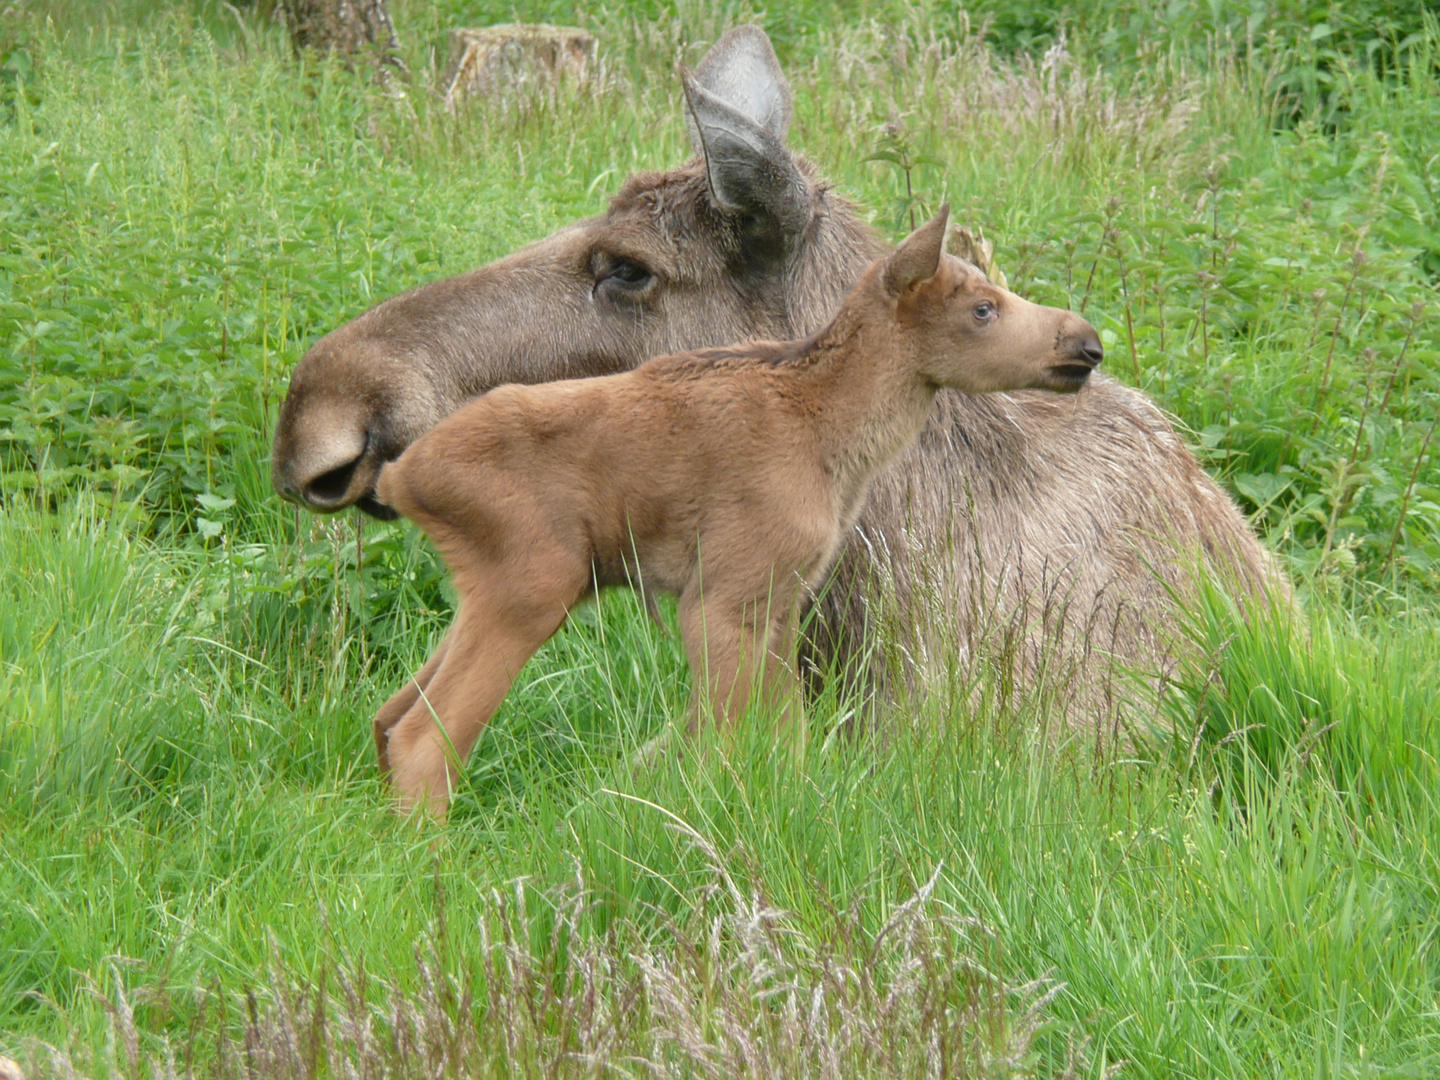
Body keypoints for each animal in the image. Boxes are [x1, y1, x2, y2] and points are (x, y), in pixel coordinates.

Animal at [371, 207, 1100, 817]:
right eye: (983, 308)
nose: (1088, 344)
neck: (835, 440)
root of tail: (401, 477)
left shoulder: (778, 603)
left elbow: (786, 740)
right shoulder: (722, 595)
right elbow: (723, 747)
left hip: (493, 590)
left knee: (388, 713)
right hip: (534, 578)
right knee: (423, 736)